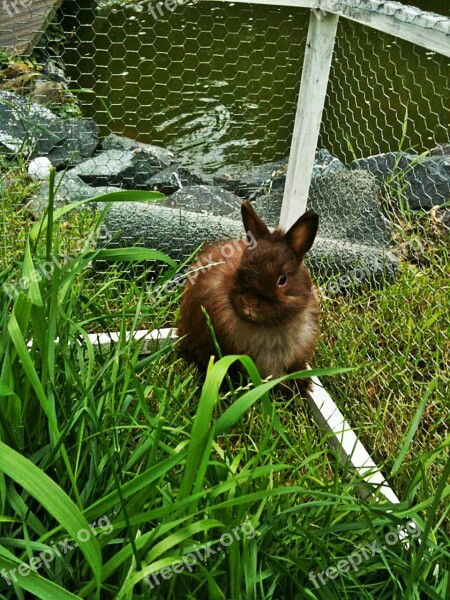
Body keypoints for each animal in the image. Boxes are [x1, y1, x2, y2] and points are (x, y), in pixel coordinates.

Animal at [177, 199, 320, 392]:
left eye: (282, 279)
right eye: (240, 270)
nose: (250, 304)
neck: (271, 324)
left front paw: (305, 385)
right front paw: (289, 388)